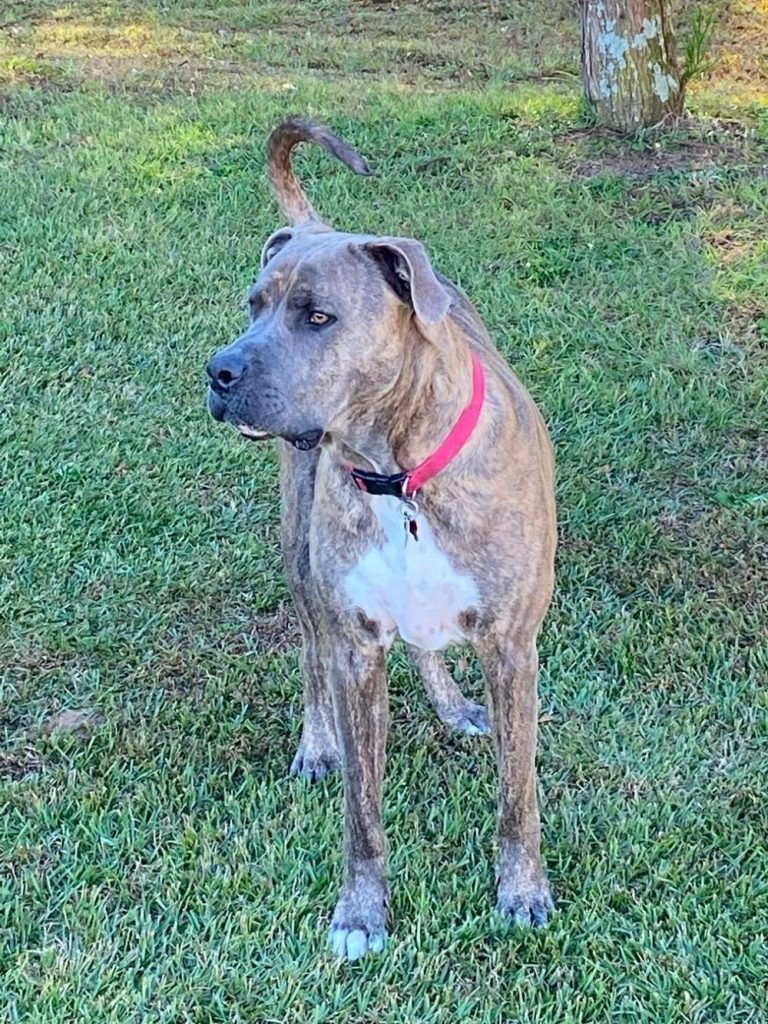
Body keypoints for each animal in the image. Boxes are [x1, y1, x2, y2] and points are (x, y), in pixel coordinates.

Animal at [207, 119, 557, 958]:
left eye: (319, 316)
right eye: (254, 304)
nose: (219, 371)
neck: (396, 473)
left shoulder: (513, 648)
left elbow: (517, 794)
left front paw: (522, 889)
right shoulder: (356, 648)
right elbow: (362, 813)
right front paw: (361, 912)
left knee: (427, 643)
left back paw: (454, 705)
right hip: (300, 558)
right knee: (309, 648)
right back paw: (317, 742)